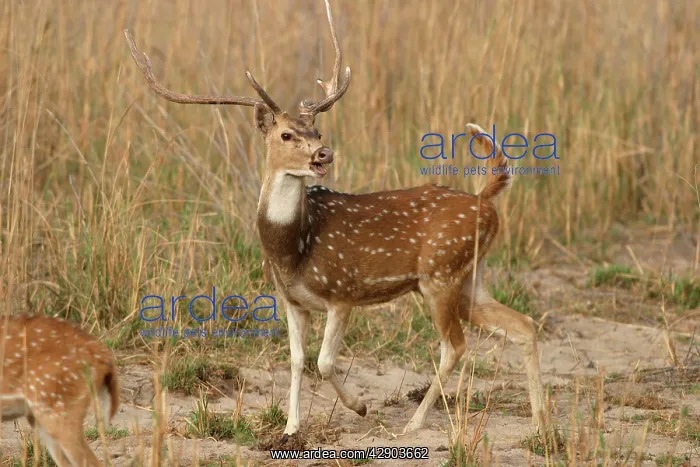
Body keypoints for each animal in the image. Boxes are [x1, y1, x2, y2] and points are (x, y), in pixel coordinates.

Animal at [123, 0, 546, 443]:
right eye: (287, 135)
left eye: (317, 130)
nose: (323, 154)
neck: (294, 250)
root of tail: (484, 200)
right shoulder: (292, 300)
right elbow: (295, 360)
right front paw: (290, 428)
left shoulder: (343, 291)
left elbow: (324, 362)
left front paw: (359, 406)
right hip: (468, 277)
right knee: (524, 324)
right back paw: (539, 423)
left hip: (440, 272)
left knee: (456, 346)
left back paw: (414, 424)